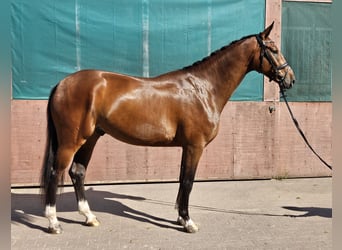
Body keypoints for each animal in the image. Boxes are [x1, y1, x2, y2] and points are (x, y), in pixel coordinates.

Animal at [41, 22, 296, 233]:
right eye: (273, 50)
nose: (290, 78)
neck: (203, 88)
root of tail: (61, 84)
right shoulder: (195, 146)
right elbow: (188, 182)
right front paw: (188, 222)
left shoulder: (186, 147)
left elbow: (182, 180)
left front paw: (181, 218)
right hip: (71, 141)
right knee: (55, 173)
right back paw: (53, 223)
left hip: (91, 138)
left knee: (77, 172)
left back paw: (89, 217)